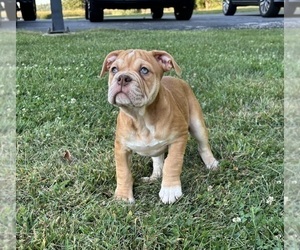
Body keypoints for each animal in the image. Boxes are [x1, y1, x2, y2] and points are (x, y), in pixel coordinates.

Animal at [101, 49, 218, 205]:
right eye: (114, 69)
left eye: (144, 70)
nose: (122, 78)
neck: (141, 118)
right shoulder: (121, 147)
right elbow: (123, 171)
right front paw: (123, 196)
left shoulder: (179, 137)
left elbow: (172, 163)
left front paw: (170, 190)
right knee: (157, 159)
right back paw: (155, 176)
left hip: (197, 124)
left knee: (203, 145)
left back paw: (211, 164)